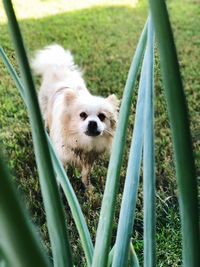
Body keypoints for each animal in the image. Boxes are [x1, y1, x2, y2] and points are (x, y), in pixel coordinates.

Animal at [31, 44, 119, 188]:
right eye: (82, 115)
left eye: (102, 116)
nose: (92, 123)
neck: (82, 142)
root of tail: (60, 66)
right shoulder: (61, 157)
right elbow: (62, 174)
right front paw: (60, 187)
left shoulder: (89, 159)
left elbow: (85, 174)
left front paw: (88, 188)